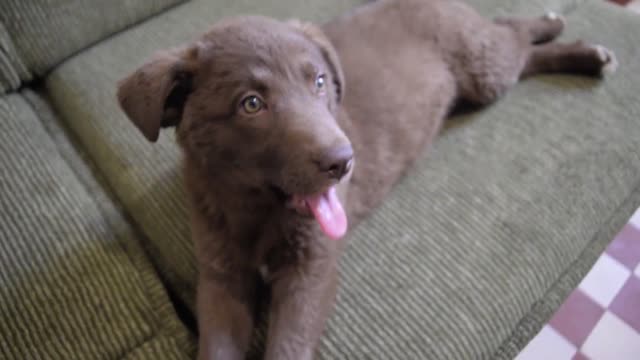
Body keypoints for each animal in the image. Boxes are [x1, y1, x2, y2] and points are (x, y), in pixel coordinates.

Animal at [116, 1, 616, 358]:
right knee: (517, 46)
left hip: (483, 71)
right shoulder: (221, 275)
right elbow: (218, 345)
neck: (257, 212)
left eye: (319, 82)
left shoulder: (311, 271)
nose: (344, 162)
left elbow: (288, 346)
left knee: (511, 33)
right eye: (251, 104)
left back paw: (568, 36)